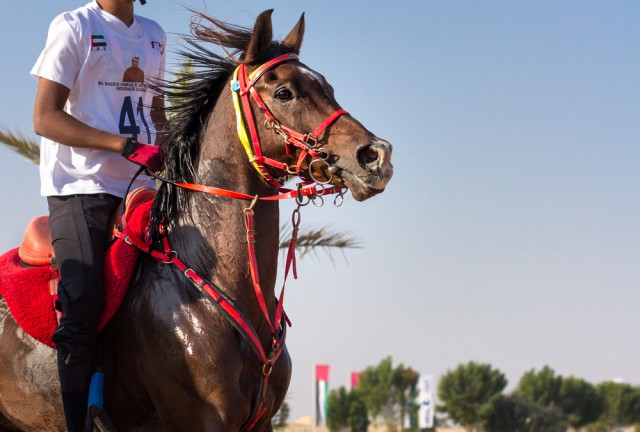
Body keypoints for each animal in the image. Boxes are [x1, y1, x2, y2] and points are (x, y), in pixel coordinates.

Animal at [0, 8, 392, 430]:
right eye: (285, 92)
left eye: (328, 87)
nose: (376, 155)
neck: (211, 278)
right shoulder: (202, 419)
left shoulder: (262, 420)